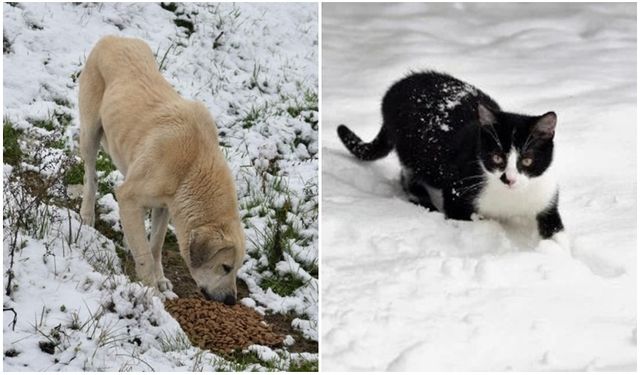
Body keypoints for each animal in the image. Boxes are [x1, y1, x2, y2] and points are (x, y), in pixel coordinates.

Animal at [80, 36, 245, 306]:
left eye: (236, 269)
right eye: (225, 267)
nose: (231, 300)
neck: (192, 166)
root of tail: (113, 38)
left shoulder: (165, 207)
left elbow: (155, 245)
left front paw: (159, 279)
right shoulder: (130, 195)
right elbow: (146, 254)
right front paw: (152, 292)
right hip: (90, 134)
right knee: (90, 175)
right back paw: (86, 214)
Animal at [338, 71, 568, 245]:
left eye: (527, 160)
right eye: (496, 158)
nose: (509, 179)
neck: (511, 198)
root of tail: (394, 89)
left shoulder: (546, 195)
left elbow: (556, 231)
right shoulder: (458, 191)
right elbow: (466, 218)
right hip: (414, 150)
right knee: (408, 176)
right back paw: (423, 200)